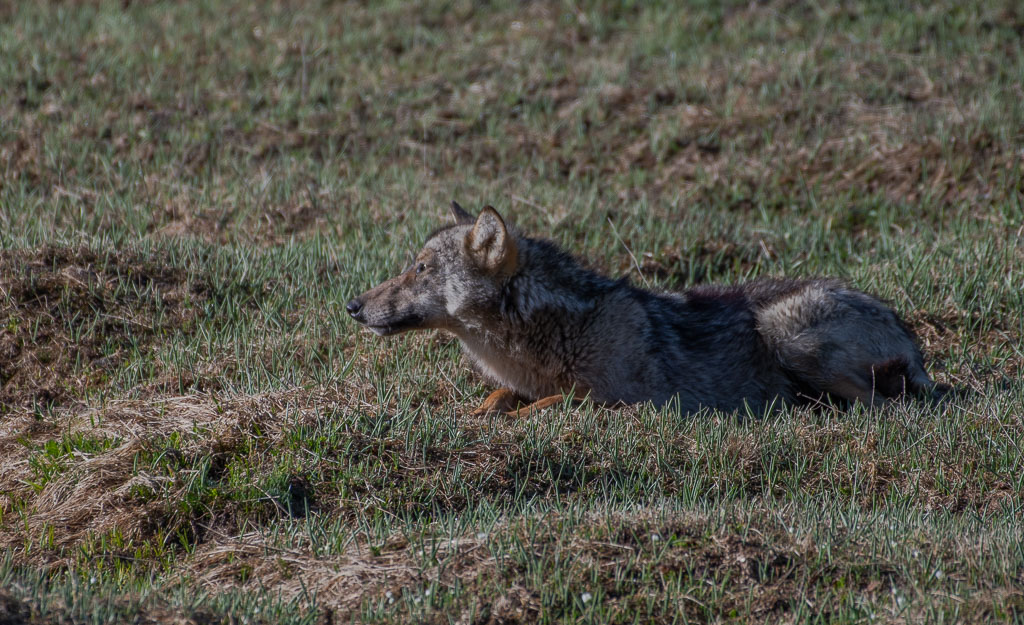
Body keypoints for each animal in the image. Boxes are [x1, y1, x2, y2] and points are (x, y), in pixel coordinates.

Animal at [346, 202, 940, 416]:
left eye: (420, 268)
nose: (352, 305)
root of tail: (907, 333)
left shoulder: (620, 399)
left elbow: (552, 404)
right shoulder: (518, 382)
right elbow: (494, 401)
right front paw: (477, 414)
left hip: (784, 333)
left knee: (885, 407)